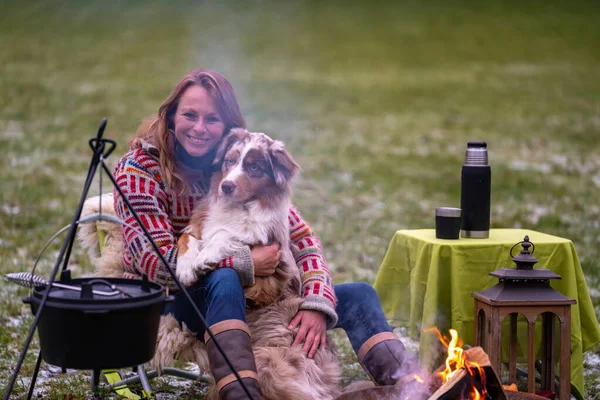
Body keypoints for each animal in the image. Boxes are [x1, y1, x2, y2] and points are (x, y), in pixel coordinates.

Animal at [169, 129, 340, 400]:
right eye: (230, 160)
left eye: (254, 167)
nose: (226, 186)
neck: (238, 207)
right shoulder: (198, 224)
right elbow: (187, 238)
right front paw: (186, 268)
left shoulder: (268, 268)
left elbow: (225, 234)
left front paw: (205, 257)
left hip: (267, 362)